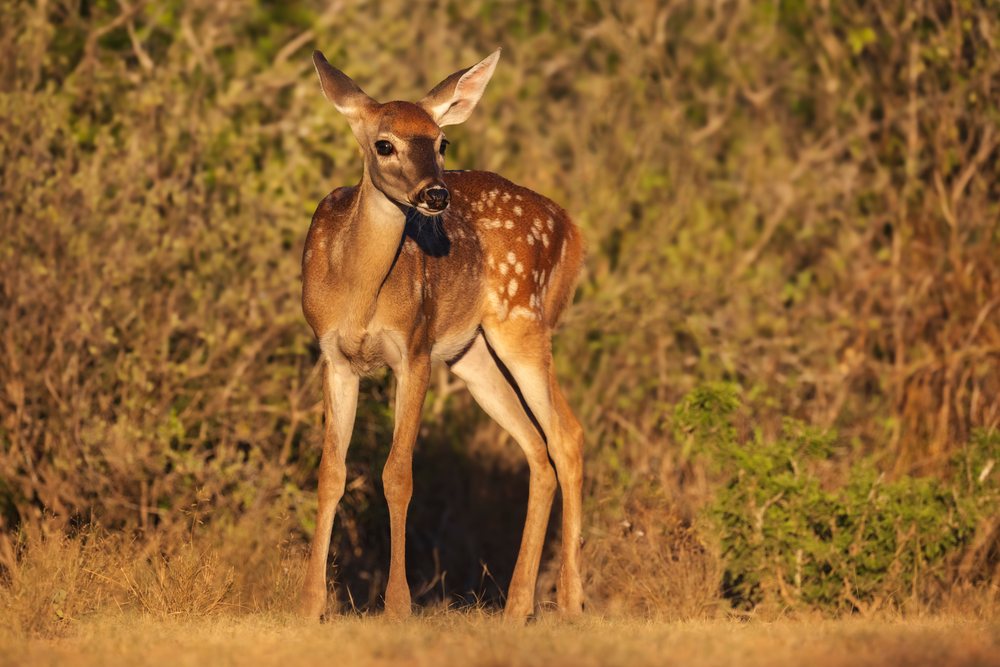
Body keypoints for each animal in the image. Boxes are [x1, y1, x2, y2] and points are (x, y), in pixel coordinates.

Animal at [298, 47, 585, 622]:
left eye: (441, 142)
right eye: (384, 143)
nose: (434, 194)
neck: (358, 294)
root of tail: (571, 227)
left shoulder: (414, 349)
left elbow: (397, 474)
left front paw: (398, 604)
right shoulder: (334, 356)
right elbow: (331, 473)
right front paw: (310, 604)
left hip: (523, 321)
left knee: (567, 436)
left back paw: (570, 601)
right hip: (471, 354)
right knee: (536, 448)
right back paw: (517, 606)